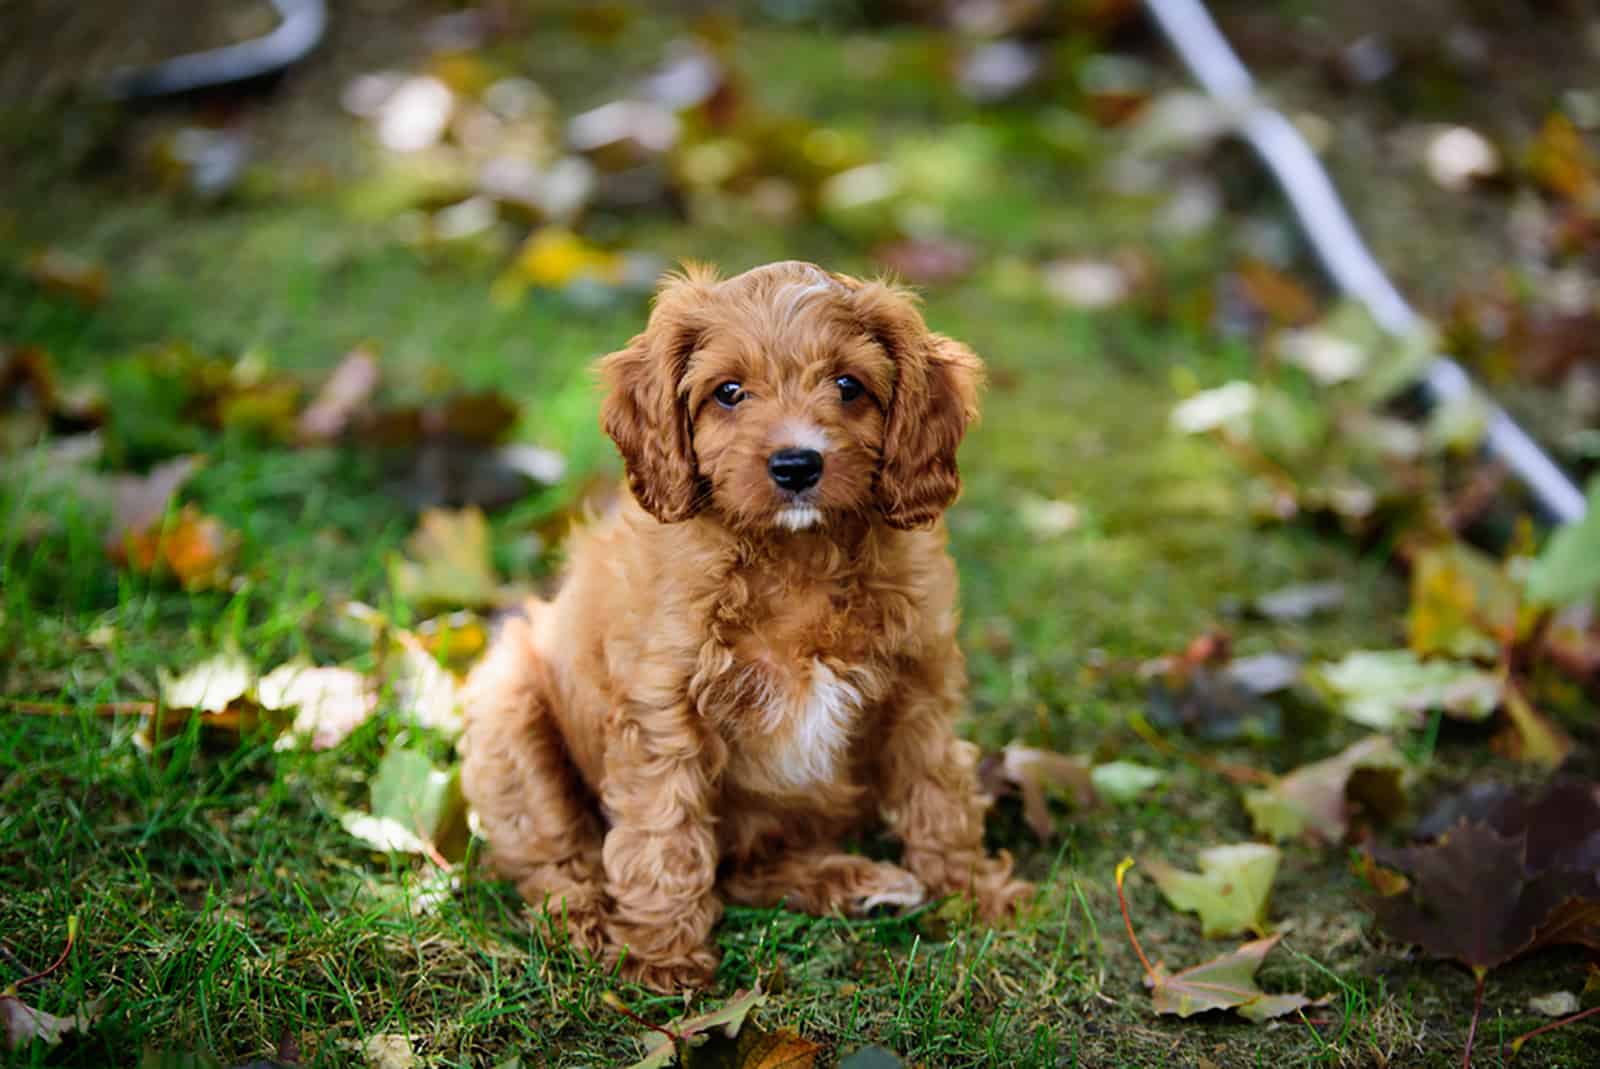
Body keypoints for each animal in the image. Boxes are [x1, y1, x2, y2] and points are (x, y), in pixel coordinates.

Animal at [457, 260, 1030, 992]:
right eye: (729, 392)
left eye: (849, 386)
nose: (796, 464)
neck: (798, 554)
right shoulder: (662, 707)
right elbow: (663, 830)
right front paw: (661, 955)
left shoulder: (919, 686)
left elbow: (940, 792)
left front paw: (972, 893)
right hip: (510, 709)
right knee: (552, 851)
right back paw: (583, 919)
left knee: (743, 869)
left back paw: (854, 881)